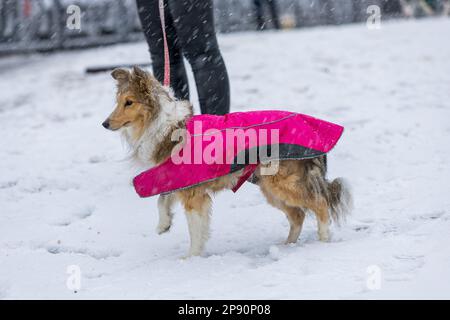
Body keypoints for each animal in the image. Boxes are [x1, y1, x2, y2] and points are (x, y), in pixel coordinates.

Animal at [103, 67, 352, 258]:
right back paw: (287, 245)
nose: (105, 124)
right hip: (270, 189)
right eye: (118, 101)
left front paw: (191, 257)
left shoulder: (192, 192)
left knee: (320, 203)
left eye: (129, 102)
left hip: (284, 184)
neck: (166, 126)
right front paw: (163, 225)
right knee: (298, 215)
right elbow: (162, 199)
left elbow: (195, 228)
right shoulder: (179, 179)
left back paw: (323, 238)